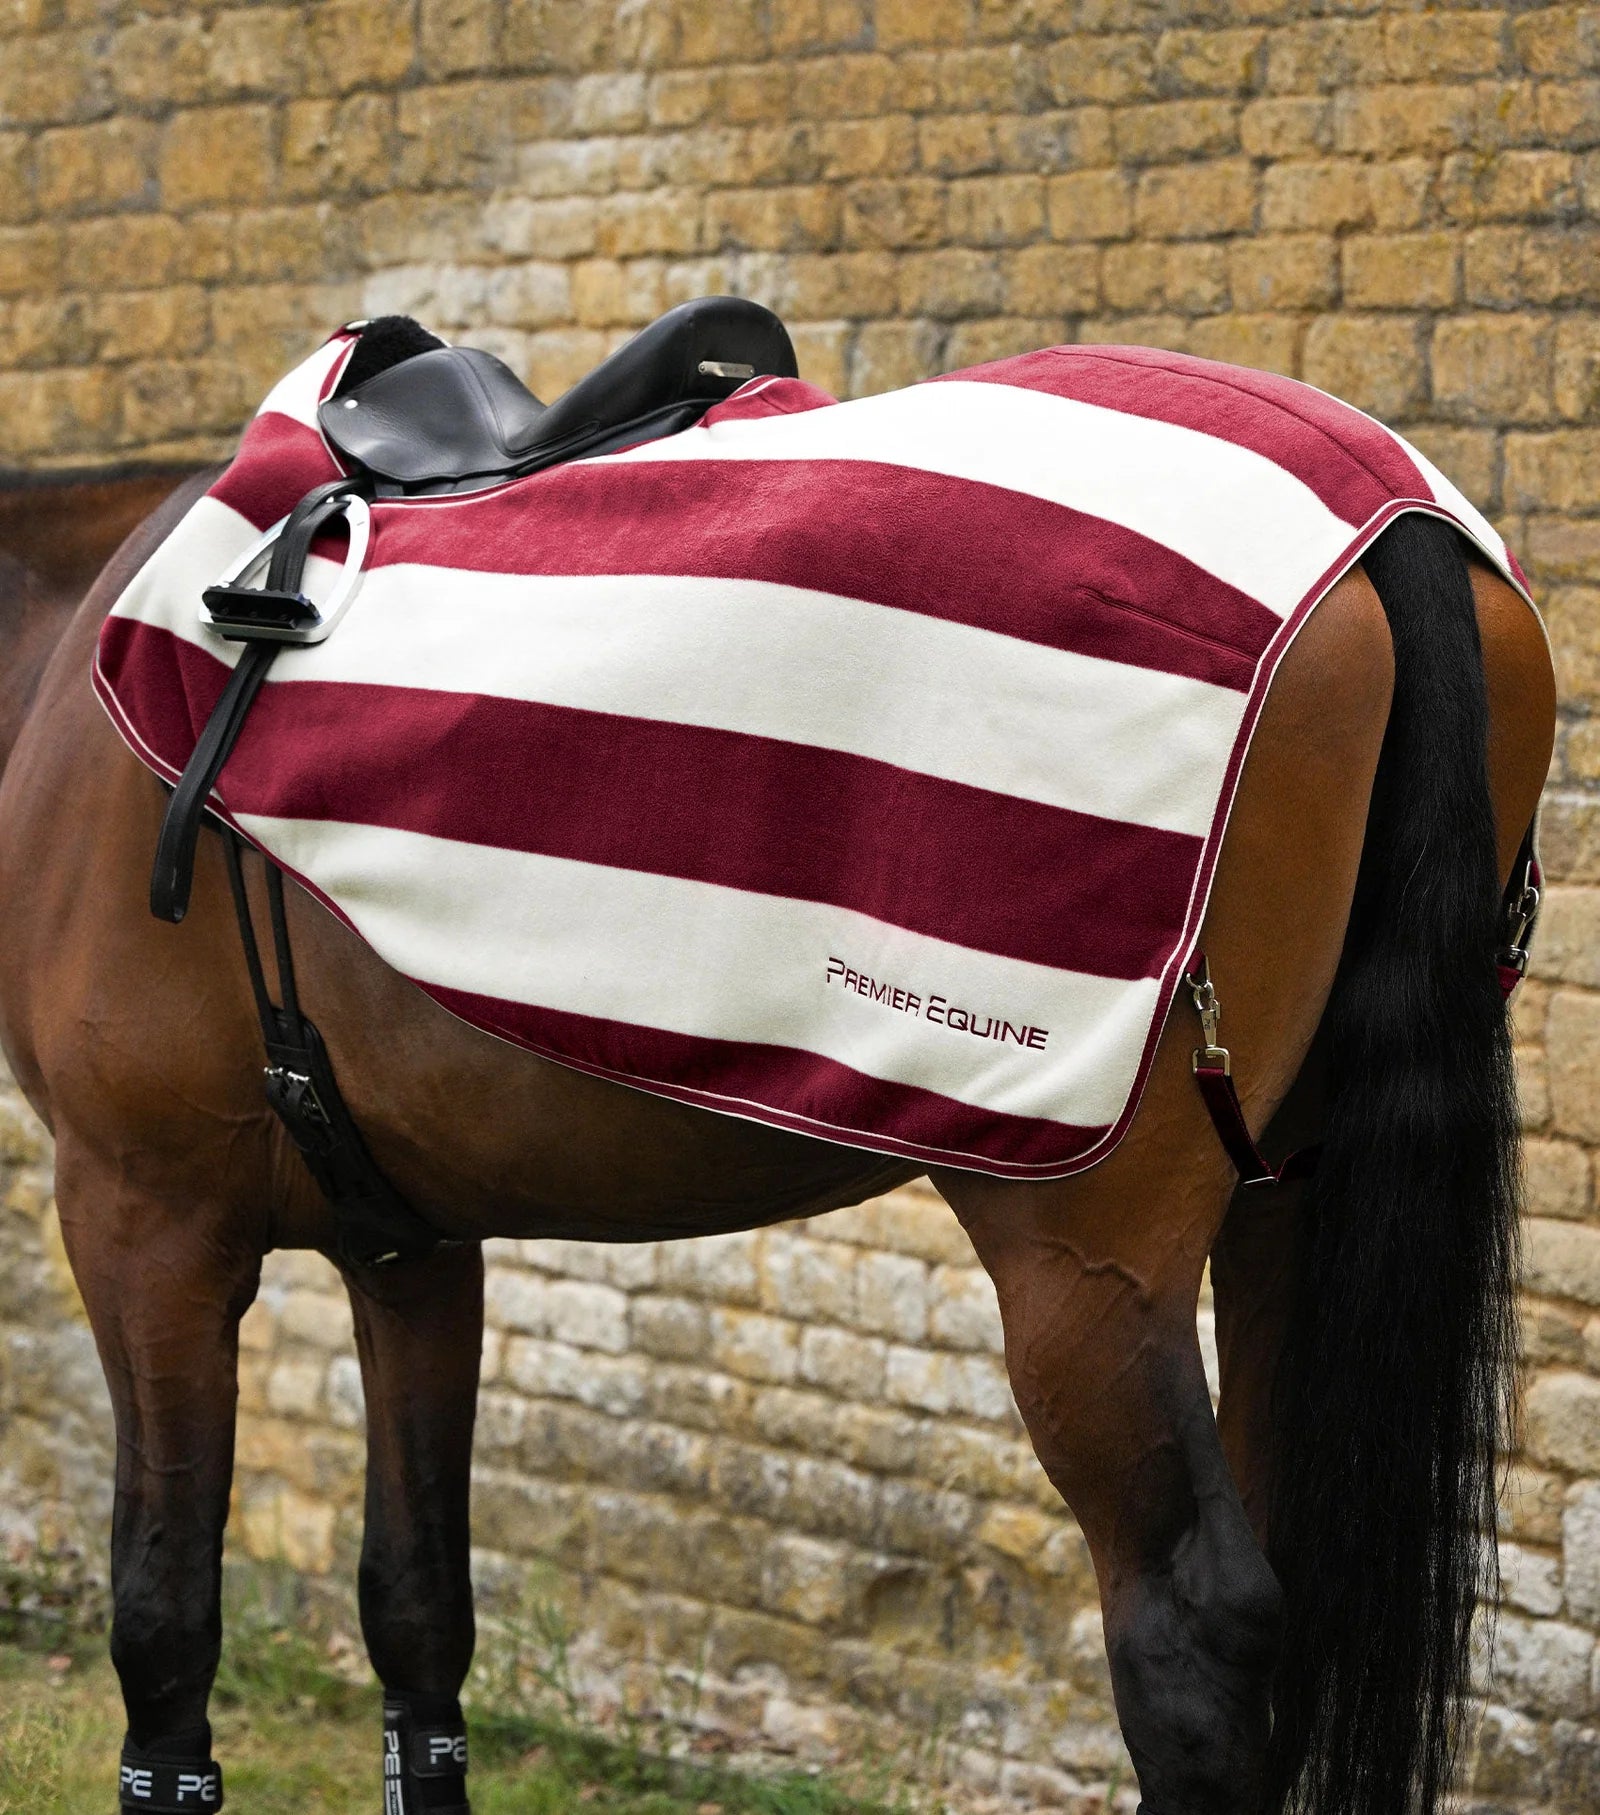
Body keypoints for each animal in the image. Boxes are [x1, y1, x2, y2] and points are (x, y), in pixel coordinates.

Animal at [0, 359, 1556, 1815]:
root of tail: (1388, 524)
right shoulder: (412, 1246)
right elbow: (417, 1610)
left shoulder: (142, 1221)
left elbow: (163, 1617)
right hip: (1285, 1207)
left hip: (1088, 1259)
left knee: (1196, 1629)